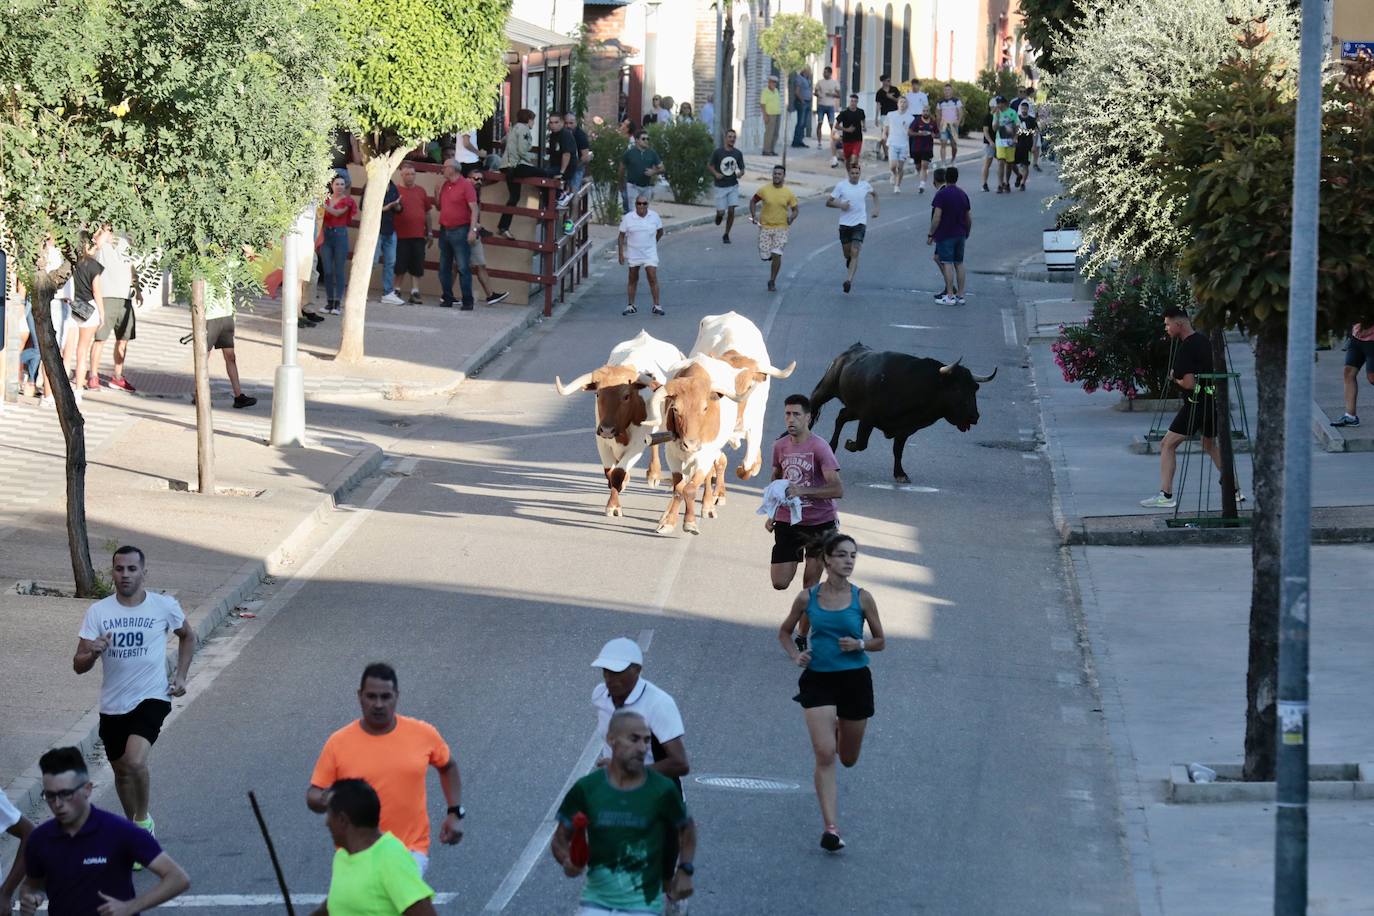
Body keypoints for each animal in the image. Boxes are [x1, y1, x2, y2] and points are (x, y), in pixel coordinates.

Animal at [802, 343, 1000, 483]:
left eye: (975, 388)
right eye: (957, 388)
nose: (974, 417)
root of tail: (851, 350)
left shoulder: (905, 428)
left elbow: (898, 450)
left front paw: (900, 474)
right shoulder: (867, 417)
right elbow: (861, 443)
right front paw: (849, 444)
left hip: (852, 409)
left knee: (841, 417)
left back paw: (831, 447)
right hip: (825, 391)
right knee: (814, 410)